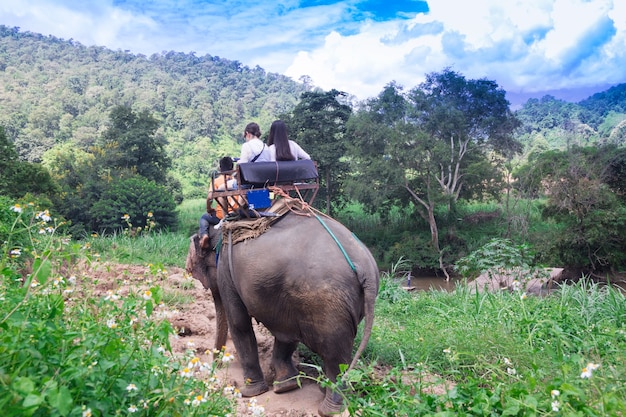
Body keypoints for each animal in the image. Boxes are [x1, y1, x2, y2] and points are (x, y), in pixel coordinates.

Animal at [185, 211, 378, 416]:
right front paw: (286, 386)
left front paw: (250, 393)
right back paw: (323, 391)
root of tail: (367, 269)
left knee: (334, 355)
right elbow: (286, 335)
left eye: (193, 270)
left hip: (328, 304)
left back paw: (328, 409)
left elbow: (239, 323)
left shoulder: (226, 271)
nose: (217, 366)